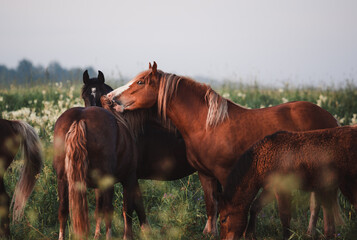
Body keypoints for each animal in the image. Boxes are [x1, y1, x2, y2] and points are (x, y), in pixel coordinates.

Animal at [52, 107, 147, 240]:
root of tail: (79, 118)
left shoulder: (99, 185)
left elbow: (98, 210)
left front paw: (96, 235)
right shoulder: (129, 178)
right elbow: (128, 210)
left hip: (63, 180)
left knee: (63, 210)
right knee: (108, 210)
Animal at [106, 62, 340, 236]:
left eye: (140, 81)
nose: (111, 99)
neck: (207, 125)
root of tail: (330, 118)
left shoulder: (227, 174)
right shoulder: (205, 174)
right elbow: (212, 207)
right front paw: (211, 232)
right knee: (316, 204)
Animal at [217, 126, 357, 239]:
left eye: (223, 219)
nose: (223, 239)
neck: (259, 164)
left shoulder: (282, 188)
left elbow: (284, 215)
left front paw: (286, 236)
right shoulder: (270, 188)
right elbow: (255, 207)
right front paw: (250, 235)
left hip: (348, 184)